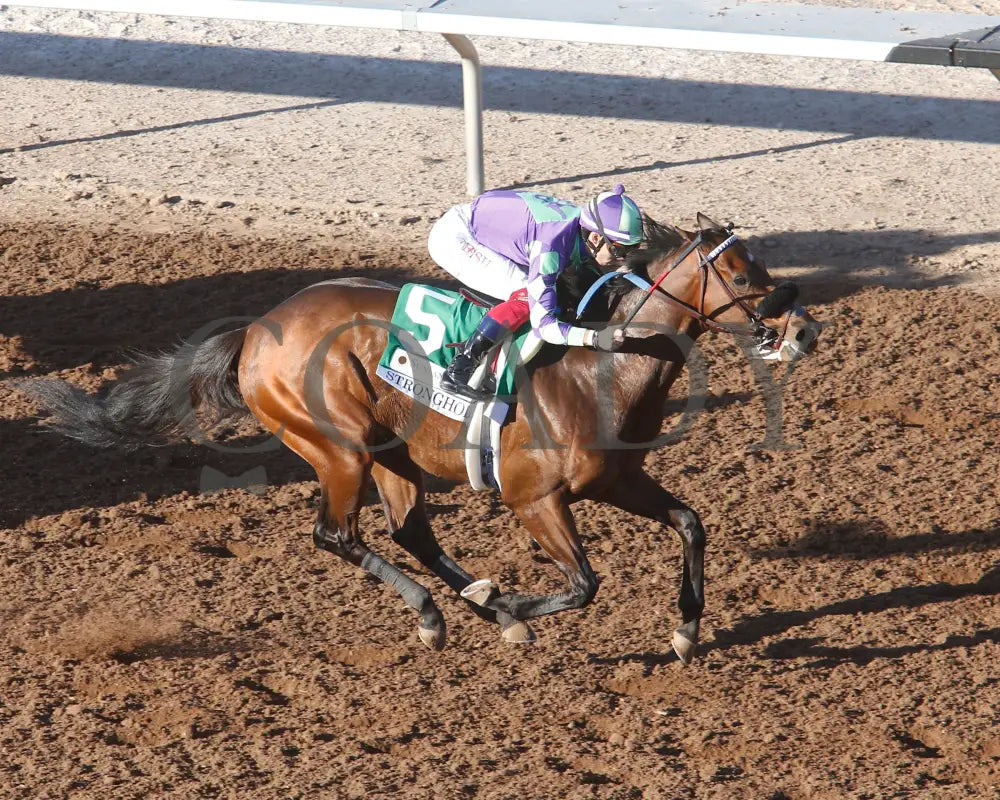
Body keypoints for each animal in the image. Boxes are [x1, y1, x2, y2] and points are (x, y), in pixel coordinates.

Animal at [35, 212, 824, 664]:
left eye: (762, 265)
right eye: (739, 273)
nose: (804, 327)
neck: (602, 368)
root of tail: (255, 330)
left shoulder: (616, 479)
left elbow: (691, 522)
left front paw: (686, 629)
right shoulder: (534, 499)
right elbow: (583, 583)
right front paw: (518, 610)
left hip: (392, 451)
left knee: (409, 528)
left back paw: (472, 601)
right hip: (341, 446)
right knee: (337, 535)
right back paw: (449, 614)